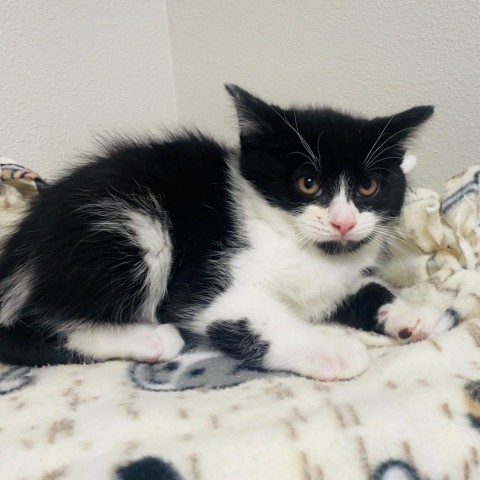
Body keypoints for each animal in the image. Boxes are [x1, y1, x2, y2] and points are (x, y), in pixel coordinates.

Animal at [0, 86, 458, 378]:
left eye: (368, 187)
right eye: (307, 183)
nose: (342, 222)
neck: (305, 246)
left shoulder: (335, 279)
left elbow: (365, 288)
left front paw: (411, 313)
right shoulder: (203, 283)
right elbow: (258, 317)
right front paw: (331, 349)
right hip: (129, 225)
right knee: (28, 328)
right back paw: (152, 340)